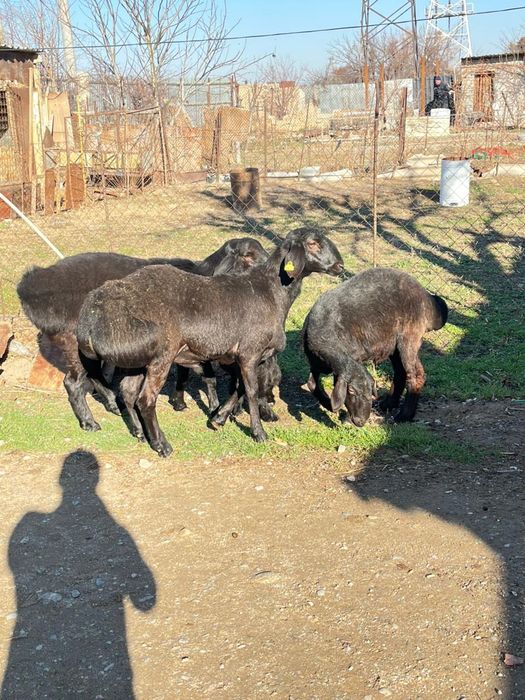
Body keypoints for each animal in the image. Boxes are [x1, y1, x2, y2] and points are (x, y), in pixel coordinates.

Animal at [17, 239, 267, 431]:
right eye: (249, 255)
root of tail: (29, 288)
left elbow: (185, 371)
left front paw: (179, 402)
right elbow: (207, 376)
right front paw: (215, 409)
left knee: (94, 376)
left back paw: (113, 404)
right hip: (74, 342)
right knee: (73, 382)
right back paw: (90, 422)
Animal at [77, 227, 344, 456]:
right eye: (313, 243)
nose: (340, 266)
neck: (271, 292)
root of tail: (90, 318)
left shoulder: (245, 356)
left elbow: (238, 388)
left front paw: (218, 418)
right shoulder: (250, 352)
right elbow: (251, 390)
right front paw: (258, 433)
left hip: (139, 361)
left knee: (128, 392)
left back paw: (141, 434)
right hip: (161, 356)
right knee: (145, 399)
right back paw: (162, 445)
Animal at [302, 267, 448, 426]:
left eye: (369, 392)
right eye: (351, 391)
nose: (360, 421)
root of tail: (428, 299)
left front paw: (345, 417)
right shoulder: (316, 363)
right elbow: (312, 384)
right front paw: (329, 405)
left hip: (408, 339)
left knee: (414, 375)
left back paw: (404, 415)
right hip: (394, 345)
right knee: (403, 372)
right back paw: (388, 404)